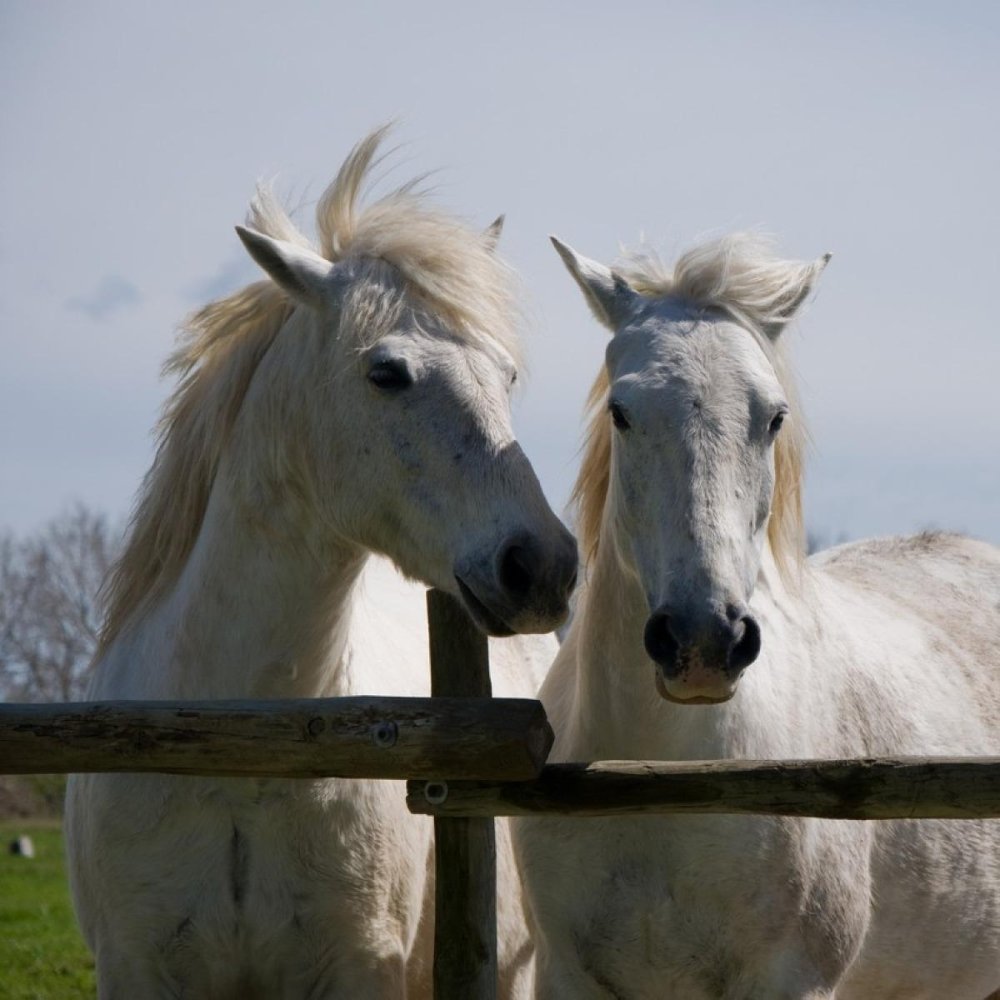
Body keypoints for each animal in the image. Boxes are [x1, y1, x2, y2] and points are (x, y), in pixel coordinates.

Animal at [64, 127, 580, 1000]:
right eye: (386, 372)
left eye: (506, 374)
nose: (542, 565)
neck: (239, 753)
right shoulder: (136, 968)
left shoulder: (358, 971)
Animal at [516, 230, 1000, 996]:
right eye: (622, 412)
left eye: (773, 417)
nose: (704, 640)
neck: (666, 782)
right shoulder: (564, 974)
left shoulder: (791, 978)